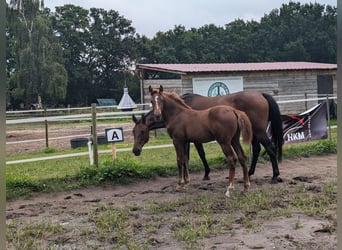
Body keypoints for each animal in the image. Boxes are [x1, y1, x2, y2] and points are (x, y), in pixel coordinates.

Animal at [132, 89, 282, 182]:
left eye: (142, 132)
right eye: (133, 132)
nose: (135, 151)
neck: (179, 111)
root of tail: (261, 94)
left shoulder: (192, 140)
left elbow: (198, 155)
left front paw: (205, 174)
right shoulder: (187, 139)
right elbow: (187, 157)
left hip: (259, 132)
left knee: (270, 148)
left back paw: (275, 176)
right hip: (253, 133)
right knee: (256, 150)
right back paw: (250, 173)